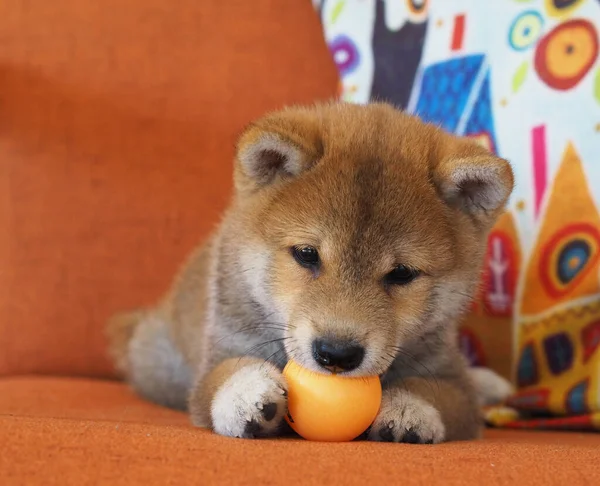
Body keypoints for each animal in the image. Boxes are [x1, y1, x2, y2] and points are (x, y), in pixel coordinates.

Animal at [105, 100, 512, 442]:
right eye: (306, 254)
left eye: (401, 273)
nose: (337, 353)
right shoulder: (223, 349)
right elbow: (223, 377)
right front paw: (246, 394)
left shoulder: (445, 372)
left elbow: (439, 393)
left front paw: (409, 409)